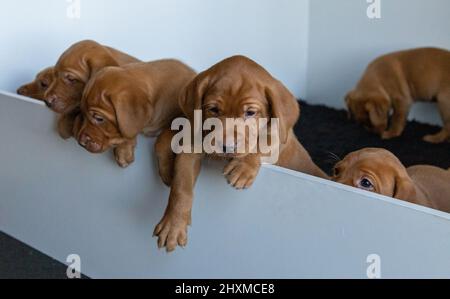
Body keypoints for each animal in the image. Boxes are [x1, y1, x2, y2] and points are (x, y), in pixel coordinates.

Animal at [154, 55, 326, 252]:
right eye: (213, 109)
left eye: (250, 112)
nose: (227, 147)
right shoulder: (190, 148)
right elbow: (181, 187)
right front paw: (173, 225)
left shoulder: (279, 135)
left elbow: (263, 143)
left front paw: (244, 167)